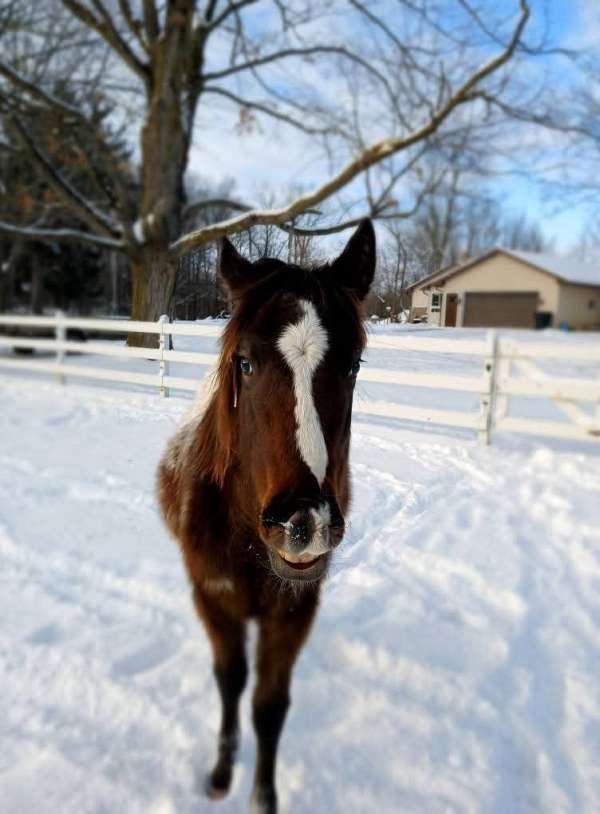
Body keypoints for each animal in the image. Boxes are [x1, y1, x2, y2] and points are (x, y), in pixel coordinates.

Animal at [157, 220, 378, 812]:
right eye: (246, 363)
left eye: (352, 364)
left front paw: (262, 795)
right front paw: (221, 772)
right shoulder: (214, 598)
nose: (303, 523)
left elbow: (270, 705)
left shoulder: (293, 610)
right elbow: (231, 681)